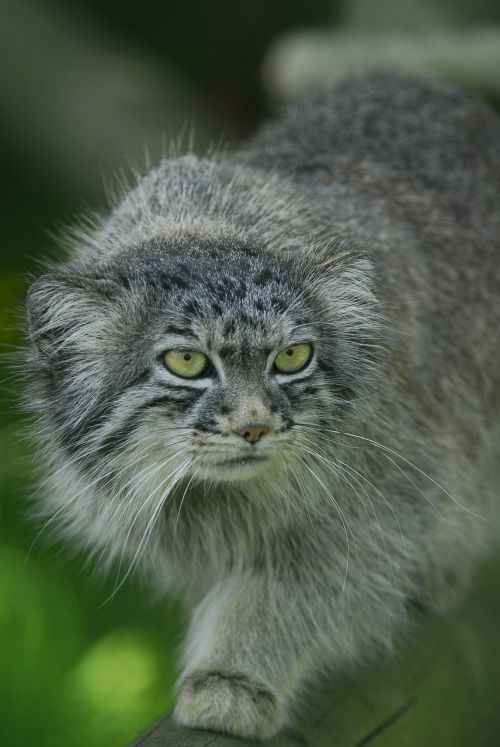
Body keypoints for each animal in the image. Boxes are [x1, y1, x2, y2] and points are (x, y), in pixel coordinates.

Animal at [25, 73, 500, 740]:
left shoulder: (380, 496)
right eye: (187, 362)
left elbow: (289, 591)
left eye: (293, 357)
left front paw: (233, 675)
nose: (255, 427)